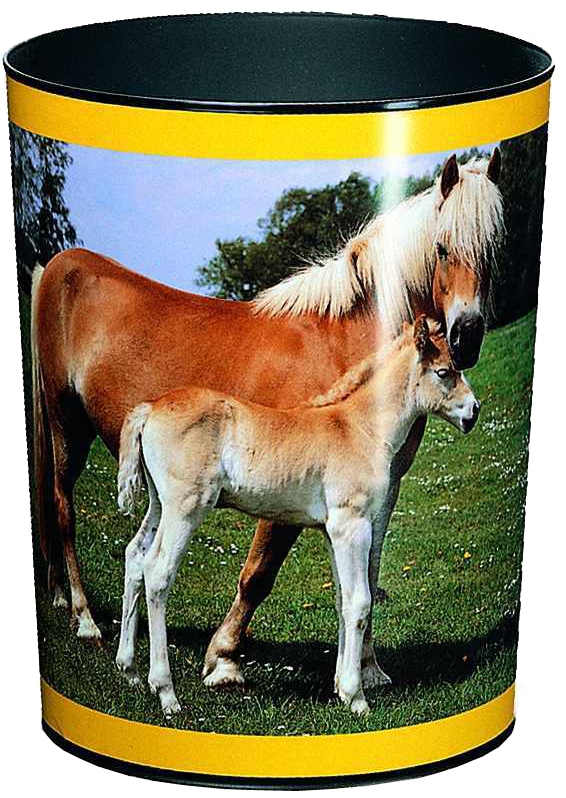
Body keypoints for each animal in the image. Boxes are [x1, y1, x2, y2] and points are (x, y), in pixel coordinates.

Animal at [116, 315, 479, 716]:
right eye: (444, 372)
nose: (473, 411)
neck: (359, 429)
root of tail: (150, 408)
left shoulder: (332, 532)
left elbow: (342, 599)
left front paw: (340, 686)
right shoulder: (352, 525)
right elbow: (360, 601)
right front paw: (356, 696)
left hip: (158, 504)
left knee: (135, 558)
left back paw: (130, 672)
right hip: (185, 507)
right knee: (157, 573)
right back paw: (166, 692)